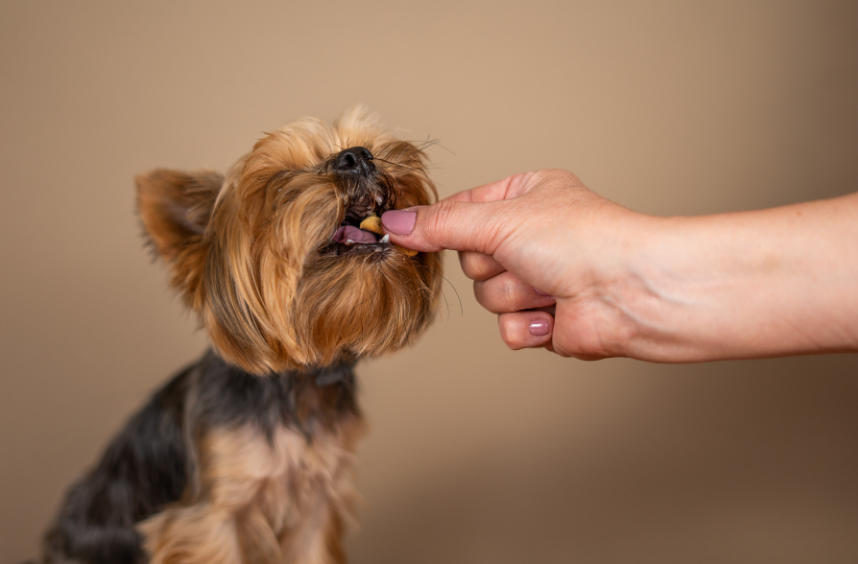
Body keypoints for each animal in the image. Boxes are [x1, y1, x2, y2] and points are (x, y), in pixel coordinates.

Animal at [35, 107, 442, 564]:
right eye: (279, 184)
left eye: (365, 146)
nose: (356, 156)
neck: (295, 386)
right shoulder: (211, 518)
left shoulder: (316, 506)